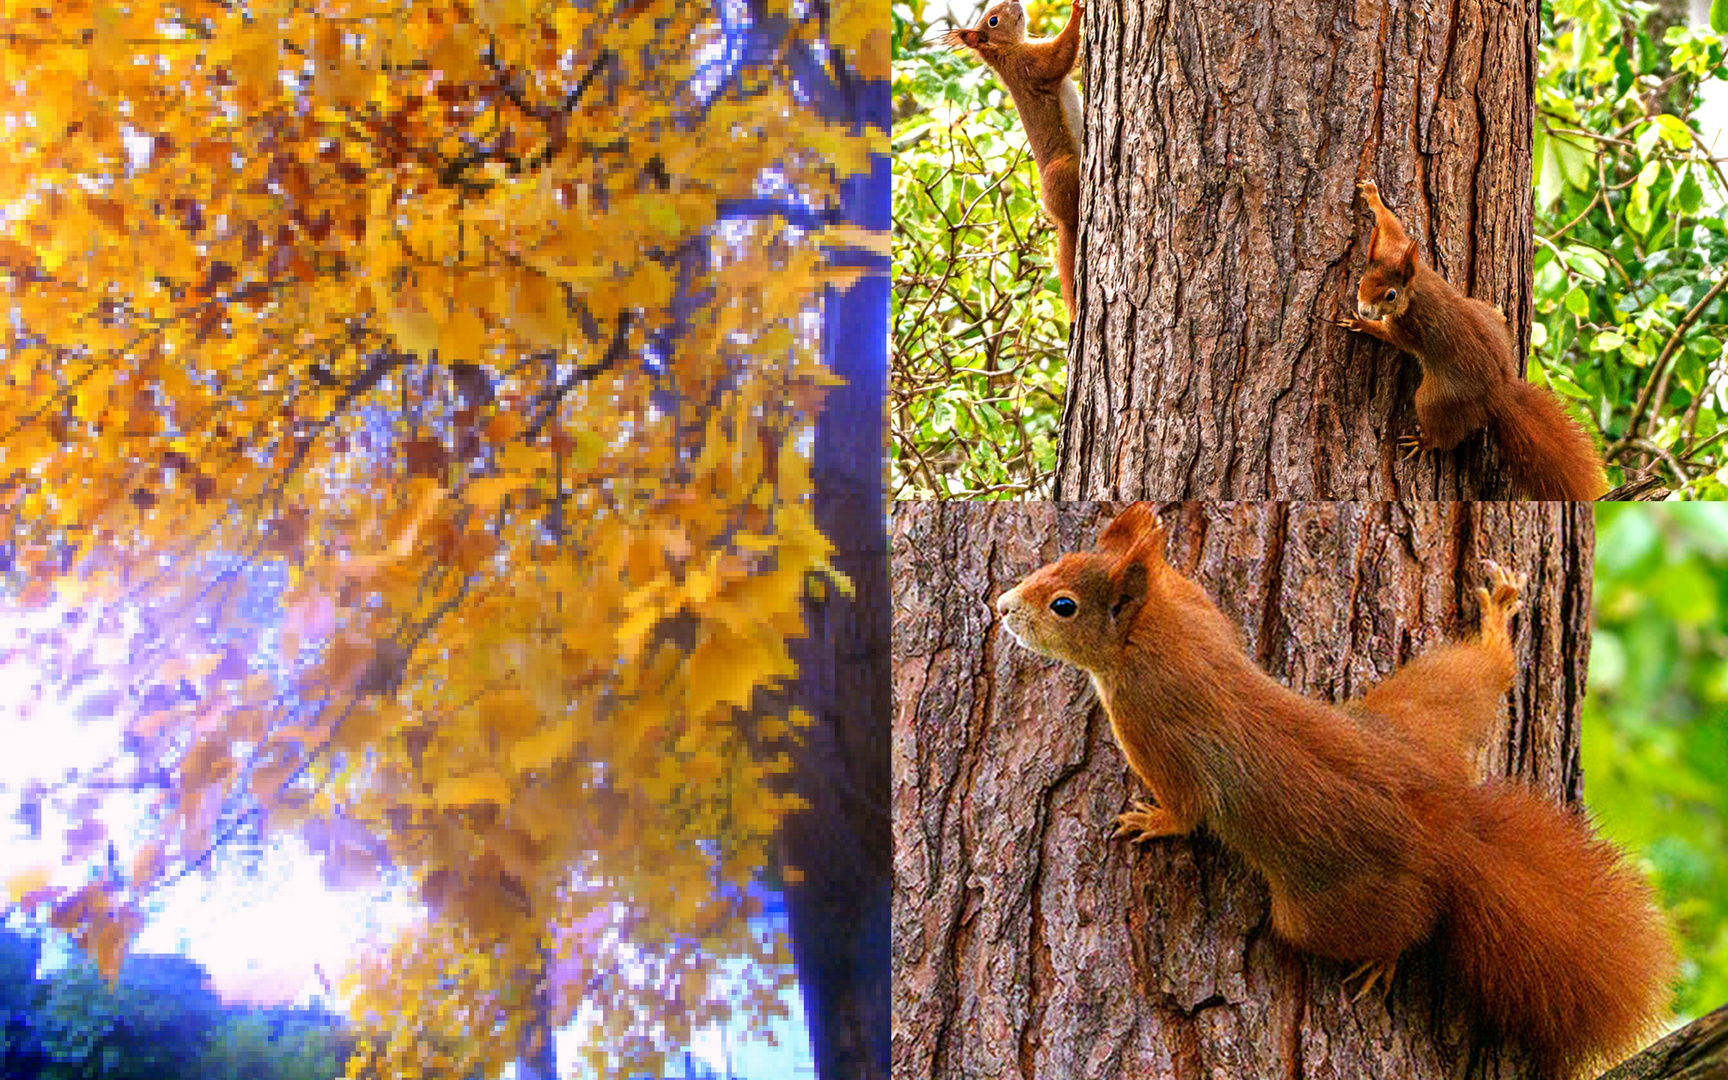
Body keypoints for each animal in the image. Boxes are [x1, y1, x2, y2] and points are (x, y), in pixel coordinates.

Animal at [946, 0, 1078, 314]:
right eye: (993, 20)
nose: (1015, 2)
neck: (1007, 51)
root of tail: (1061, 219)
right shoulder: (1029, 67)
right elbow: (1060, 56)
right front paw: (1078, 11)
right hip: (1063, 170)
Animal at [1002, 501, 1672, 1071]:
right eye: (1054, 563)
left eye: (1063, 605)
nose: (1002, 606)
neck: (1152, 630)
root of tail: (1448, 829)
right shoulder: (1196, 605)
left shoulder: (1151, 728)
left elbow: (1188, 809)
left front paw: (1149, 822)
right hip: (1416, 712)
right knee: (1482, 672)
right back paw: (1496, 624)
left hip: (1323, 910)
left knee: (1402, 926)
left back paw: (1383, 959)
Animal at [1334, 181, 1603, 501]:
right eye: (1362, 281)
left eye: (1391, 295)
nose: (1365, 310)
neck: (1413, 288)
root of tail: (1499, 393)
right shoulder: (1403, 252)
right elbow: (1393, 227)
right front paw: (1373, 196)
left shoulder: (1408, 328)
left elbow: (1391, 336)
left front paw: (1361, 323)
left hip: (1439, 398)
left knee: (1444, 434)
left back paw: (1424, 442)